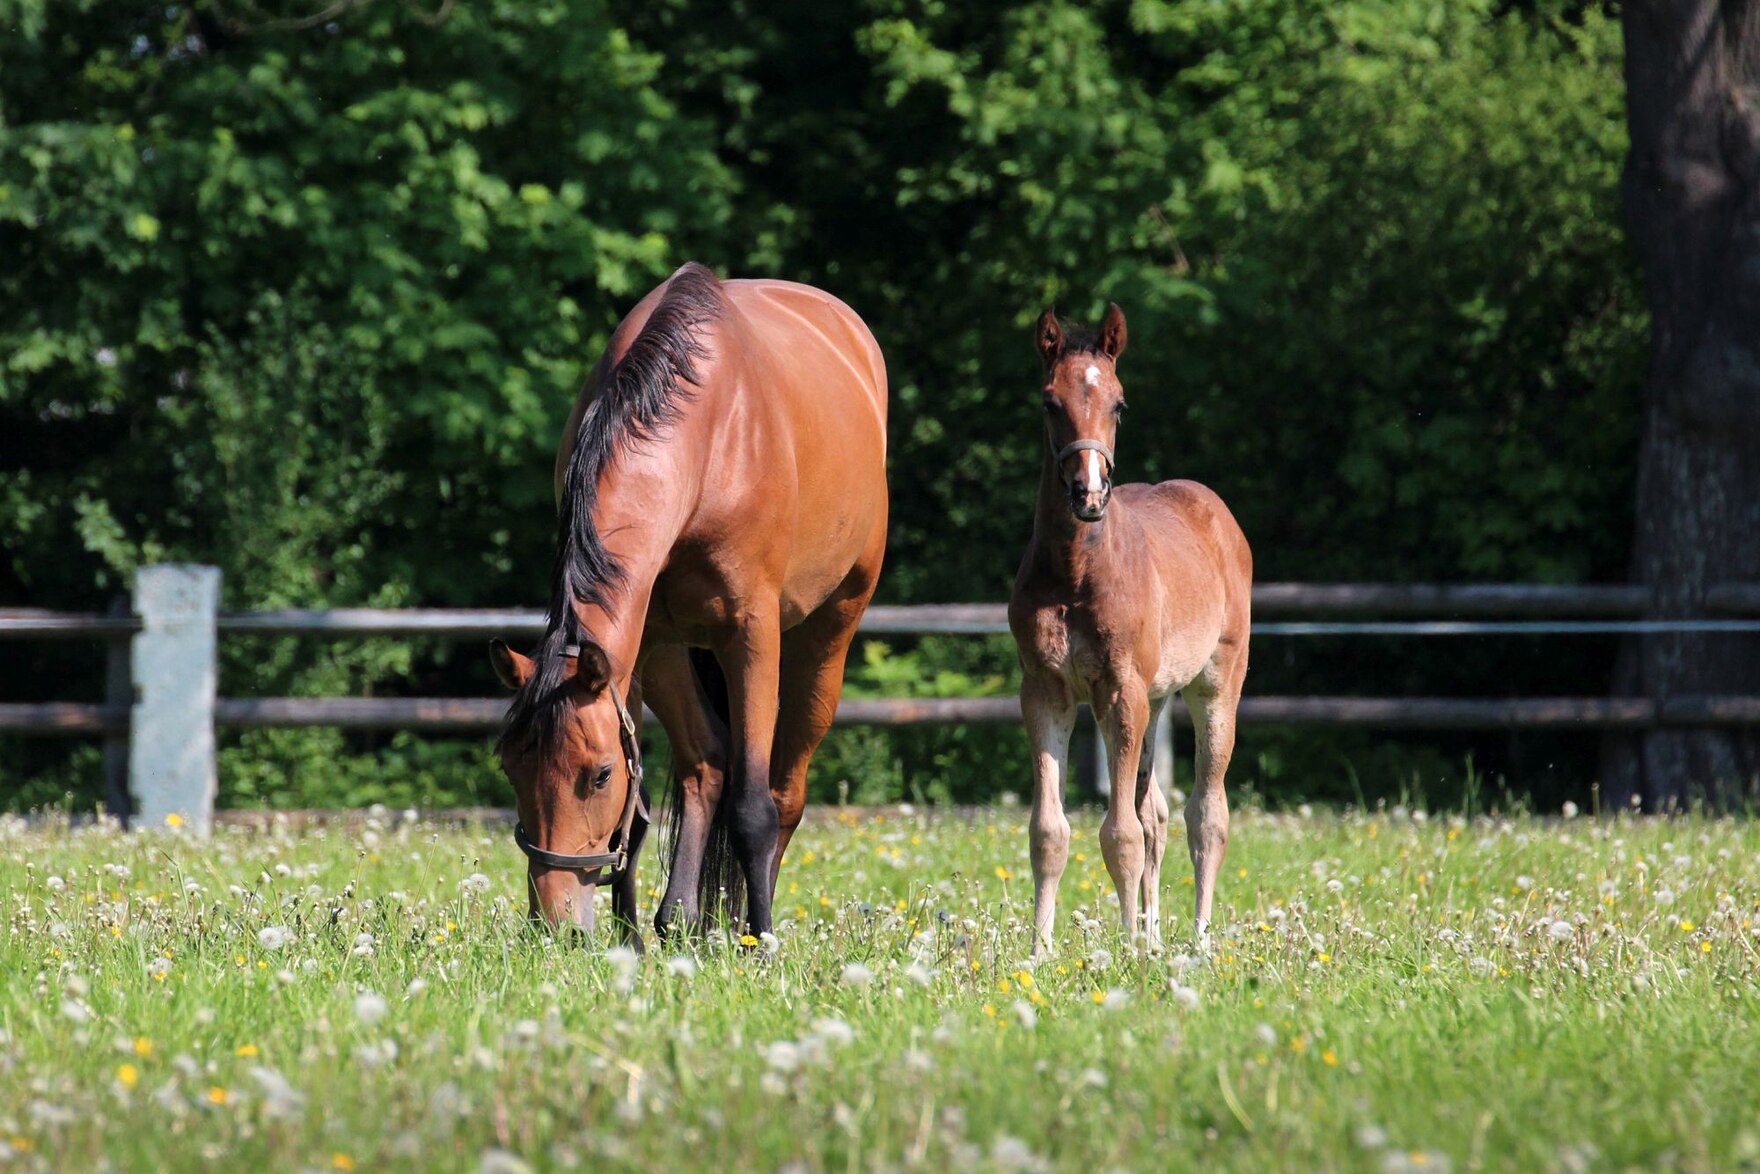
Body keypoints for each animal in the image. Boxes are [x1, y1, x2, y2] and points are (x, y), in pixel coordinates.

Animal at [489, 262, 887, 943]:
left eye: (597, 774)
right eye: (513, 767)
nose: (556, 923)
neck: (705, 444)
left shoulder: (750, 635)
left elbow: (752, 805)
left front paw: (760, 945)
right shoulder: (643, 647)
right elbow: (649, 806)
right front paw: (630, 938)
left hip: (827, 637)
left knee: (785, 792)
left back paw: (749, 923)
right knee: (707, 763)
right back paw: (680, 920)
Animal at [1006, 302, 1253, 957]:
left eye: (1119, 403)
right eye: (1049, 401)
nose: (1088, 493)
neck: (1076, 573)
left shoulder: (1121, 691)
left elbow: (1119, 832)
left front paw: (1123, 952)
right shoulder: (1045, 691)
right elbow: (1051, 830)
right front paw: (1041, 952)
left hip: (1213, 686)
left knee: (1205, 814)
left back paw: (1198, 941)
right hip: (1158, 696)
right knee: (1158, 815)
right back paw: (1155, 935)